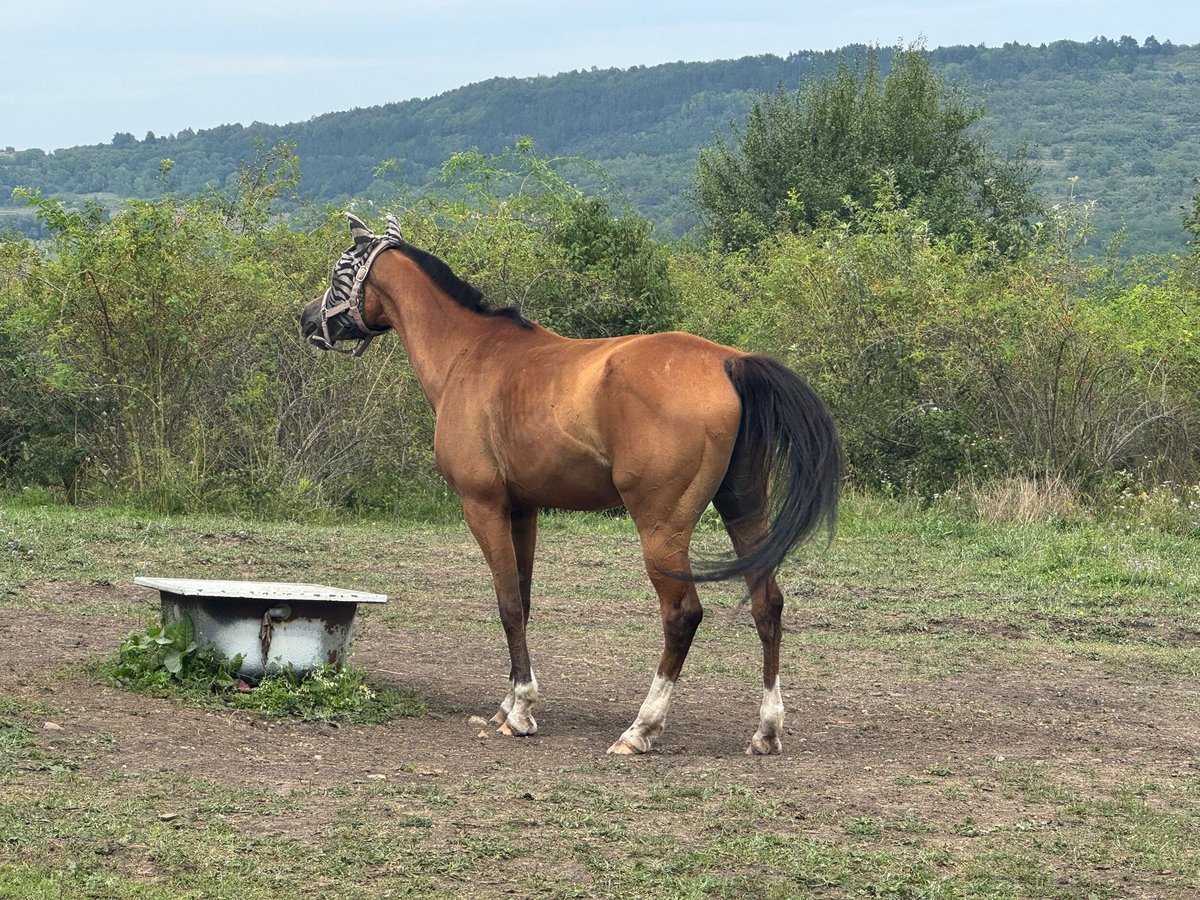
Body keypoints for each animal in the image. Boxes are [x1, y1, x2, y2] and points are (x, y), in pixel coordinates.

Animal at [300, 213, 841, 755]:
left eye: (340, 270)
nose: (307, 319)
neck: (470, 353)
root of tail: (728, 362)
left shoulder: (484, 506)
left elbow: (508, 605)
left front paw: (521, 709)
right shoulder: (523, 510)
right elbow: (523, 599)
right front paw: (508, 704)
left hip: (662, 529)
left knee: (682, 614)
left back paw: (641, 728)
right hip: (744, 509)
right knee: (767, 603)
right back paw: (766, 729)